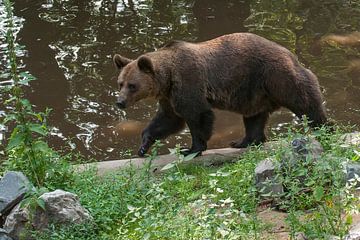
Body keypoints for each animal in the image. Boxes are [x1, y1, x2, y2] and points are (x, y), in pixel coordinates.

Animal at [112, 32, 326, 157]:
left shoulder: (189, 82)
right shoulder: (168, 97)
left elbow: (197, 115)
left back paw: (324, 126)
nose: (120, 102)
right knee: (254, 117)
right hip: (254, 91)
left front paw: (191, 148)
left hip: (275, 75)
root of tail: (290, 53)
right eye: (120, 83)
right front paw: (143, 146)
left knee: (304, 101)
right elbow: (168, 119)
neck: (167, 79)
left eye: (132, 85)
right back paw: (243, 141)